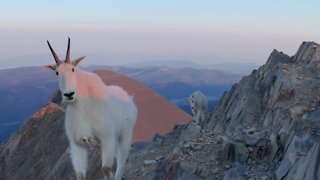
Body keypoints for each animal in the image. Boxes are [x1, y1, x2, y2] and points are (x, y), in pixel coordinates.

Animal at [43, 37, 137, 179]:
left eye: (73, 69)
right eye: (56, 72)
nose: (69, 94)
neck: (82, 108)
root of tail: (128, 97)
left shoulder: (107, 138)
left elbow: (105, 168)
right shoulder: (78, 145)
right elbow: (80, 174)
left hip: (125, 133)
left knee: (121, 159)